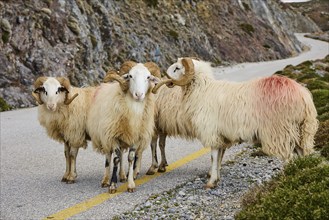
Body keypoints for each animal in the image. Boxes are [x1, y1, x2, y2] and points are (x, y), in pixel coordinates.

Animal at [86, 61, 169, 192]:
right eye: (130, 76)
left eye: (148, 77)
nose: (139, 94)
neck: (134, 110)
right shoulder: (113, 136)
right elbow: (115, 159)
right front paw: (112, 185)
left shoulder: (135, 137)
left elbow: (130, 158)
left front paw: (130, 184)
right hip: (105, 135)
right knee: (109, 156)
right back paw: (105, 180)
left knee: (121, 155)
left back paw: (122, 176)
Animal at [164, 57, 318, 188]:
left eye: (177, 68)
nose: (165, 78)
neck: (201, 91)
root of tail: (303, 96)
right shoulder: (221, 135)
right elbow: (218, 158)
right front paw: (217, 178)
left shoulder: (211, 132)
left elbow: (213, 157)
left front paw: (211, 182)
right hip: (300, 130)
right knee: (302, 153)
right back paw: (303, 173)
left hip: (280, 131)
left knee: (288, 157)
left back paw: (286, 179)